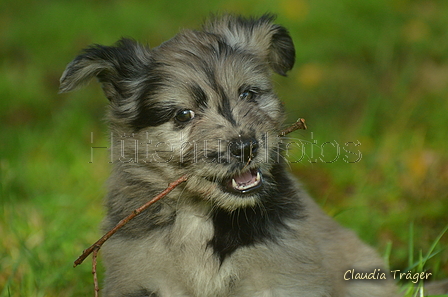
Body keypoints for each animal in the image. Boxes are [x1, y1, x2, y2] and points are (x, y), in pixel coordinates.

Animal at [59, 14, 400, 296]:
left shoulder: (282, 273)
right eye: (183, 115)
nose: (246, 147)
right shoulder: (142, 274)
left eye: (248, 94)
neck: (200, 216)